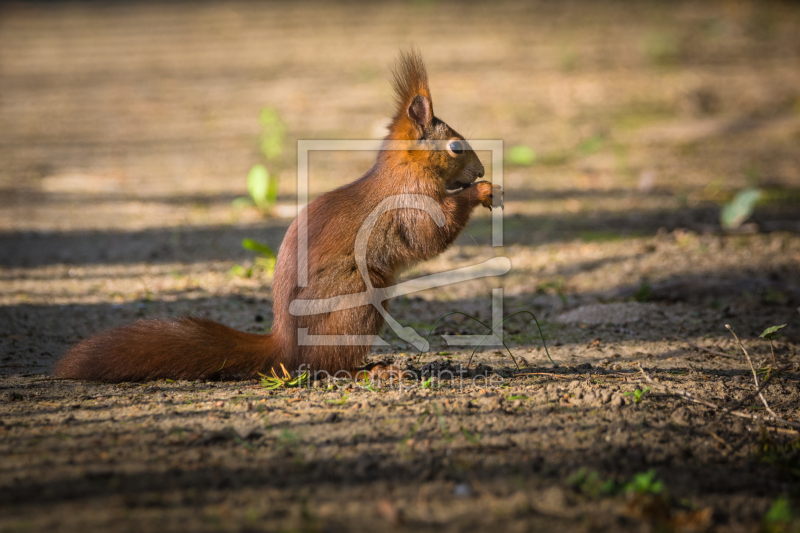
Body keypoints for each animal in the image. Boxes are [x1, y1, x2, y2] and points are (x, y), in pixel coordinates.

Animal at [56, 50, 504, 380]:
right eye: (456, 147)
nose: (481, 169)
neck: (406, 169)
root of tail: (285, 348)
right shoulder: (407, 204)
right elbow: (431, 235)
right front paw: (481, 192)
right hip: (357, 299)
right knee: (326, 367)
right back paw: (370, 371)